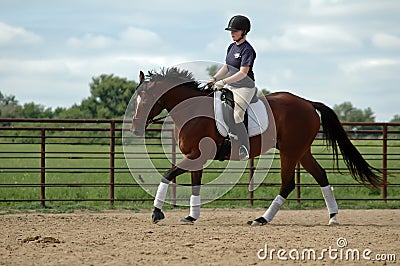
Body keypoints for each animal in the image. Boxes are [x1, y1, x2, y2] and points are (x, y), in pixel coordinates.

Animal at [130, 67, 382, 225]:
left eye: (147, 99)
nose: (135, 129)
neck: (192, 111)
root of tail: (308, 103)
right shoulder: (196, 157)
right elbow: (195, 186)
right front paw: (191, 217)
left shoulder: (197, 154)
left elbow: (167, 174)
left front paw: (156, 213)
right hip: (302, 152)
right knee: (321, 176)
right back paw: (333, 217)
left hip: (290, 152)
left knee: (287, 184)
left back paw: (262, 219)